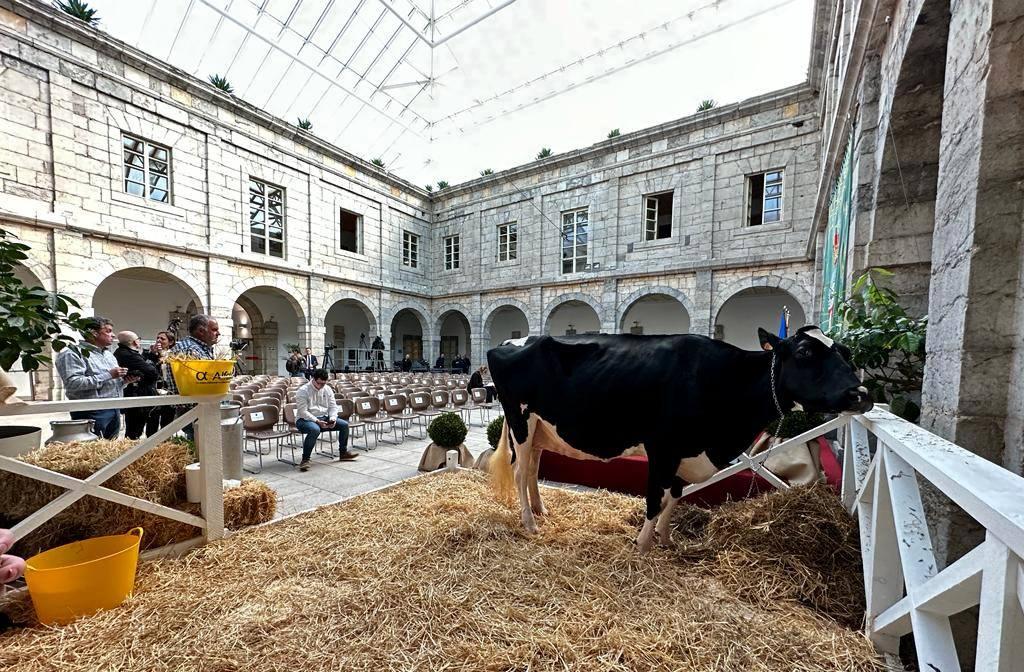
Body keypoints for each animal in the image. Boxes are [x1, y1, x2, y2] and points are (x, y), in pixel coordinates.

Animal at [487, 325, 872, 553]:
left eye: (847, 353)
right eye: (805, 353)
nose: (861, 394)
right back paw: (530, 523)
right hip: (520, 421)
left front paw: (666, 538)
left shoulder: (686, 452)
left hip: (541, 428)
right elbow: (655, 499)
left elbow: (676, 495)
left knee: (533, 470)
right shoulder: (663, 448)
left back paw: (541, 510)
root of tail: (511, 340)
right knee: (520, 473)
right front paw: (642, 545)